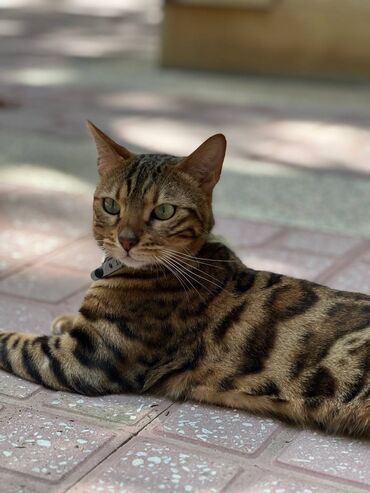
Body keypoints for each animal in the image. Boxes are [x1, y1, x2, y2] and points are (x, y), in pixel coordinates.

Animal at [0, 121, 368, 436]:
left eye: (164, 211)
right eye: (111, 205)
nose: (127, 240)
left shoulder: (86, 358)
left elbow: (14, 342)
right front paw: (65, 318)